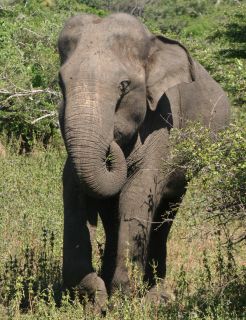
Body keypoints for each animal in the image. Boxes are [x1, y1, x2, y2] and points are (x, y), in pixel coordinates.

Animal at [57, 13, 231, 310]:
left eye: (124, 86)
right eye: (60, 83)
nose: (111, 142)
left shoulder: (163, 122)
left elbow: (137, 194)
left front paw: (123, 297)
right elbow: (74, 191)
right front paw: (95, 298)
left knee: (164, 216)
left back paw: (156, 295)